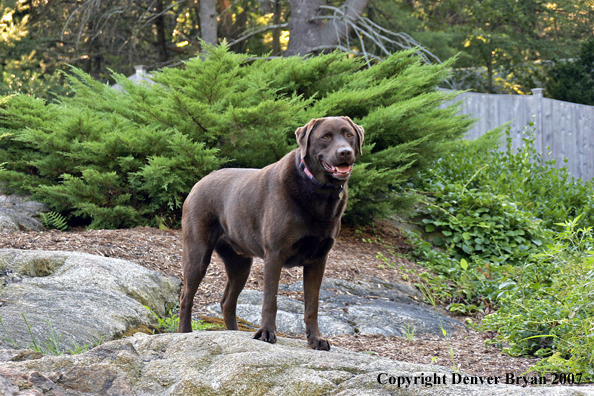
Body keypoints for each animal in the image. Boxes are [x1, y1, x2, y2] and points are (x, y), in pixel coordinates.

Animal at [177, 117, 360, 350]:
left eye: (349, 135)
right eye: (325, 137)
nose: (345, 152)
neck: (318, 191)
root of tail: (199, 182)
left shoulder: (318, 261)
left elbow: (312, 305)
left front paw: (315, 339)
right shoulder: (275, 255)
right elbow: (270, 300)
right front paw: (266, 333)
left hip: (240, 263)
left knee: (227, 302)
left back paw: (234, 333)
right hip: (197, 253)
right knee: (186, 297)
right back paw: (184, 333)